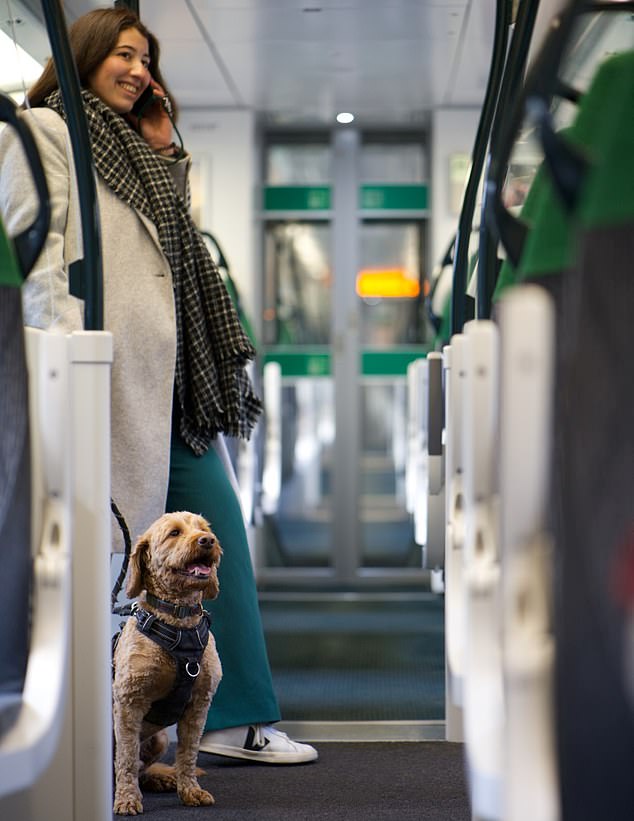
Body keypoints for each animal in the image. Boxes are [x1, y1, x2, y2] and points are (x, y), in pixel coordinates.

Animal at [112, 512, 221, 812]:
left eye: (204, 529)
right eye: (174, 533)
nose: (208, 541)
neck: (179, 622)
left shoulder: (198, 705)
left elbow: (188, 754)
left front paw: (190, 790)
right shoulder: (129, 703)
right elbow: (125, 757)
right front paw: (127, 798)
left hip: (159, 739)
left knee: (143, 767)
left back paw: (159, 779)